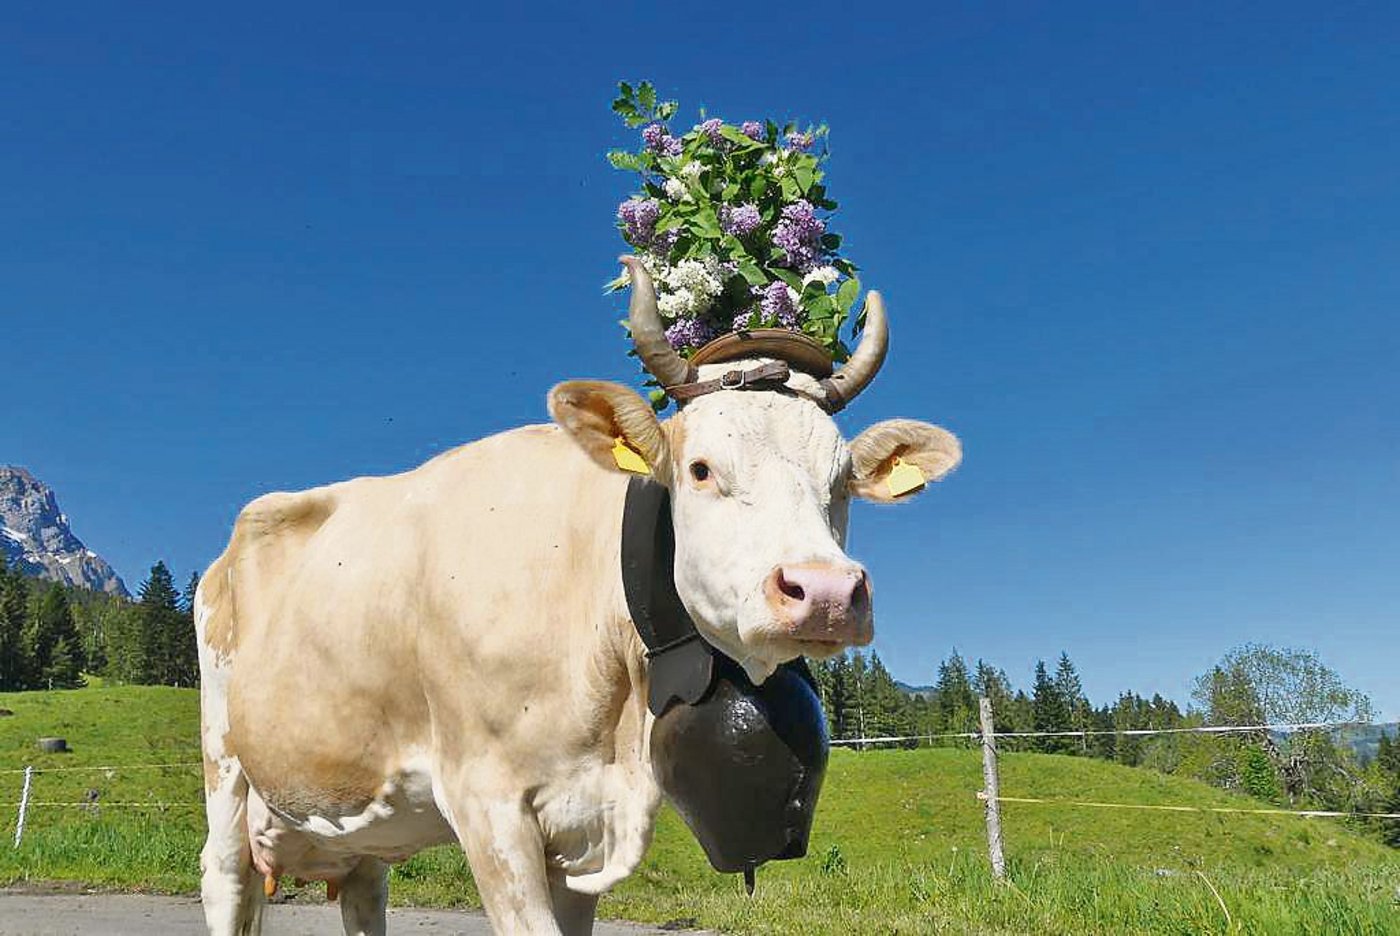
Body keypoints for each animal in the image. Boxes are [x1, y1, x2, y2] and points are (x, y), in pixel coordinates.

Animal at [195, 256, 961, 935]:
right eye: (700, 469)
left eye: (842, 480)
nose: (826, 591)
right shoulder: (487, 801)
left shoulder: (583, 822)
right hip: (226, 769)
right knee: (225, 879)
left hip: (356, 821)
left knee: (362, 888)